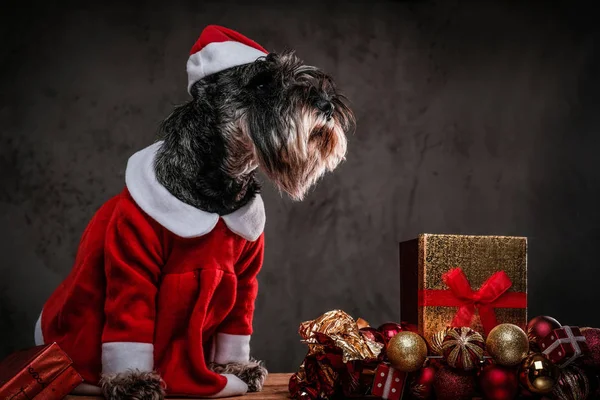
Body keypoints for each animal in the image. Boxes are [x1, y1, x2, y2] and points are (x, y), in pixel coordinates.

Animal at [32, 25, 354, 400]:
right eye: (261, 83)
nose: (327, 105)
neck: (218, 195)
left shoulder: (245, 279)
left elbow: (236, 326)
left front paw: (235, 367)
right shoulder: (132, 266)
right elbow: (129, 322)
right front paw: (131, 380)